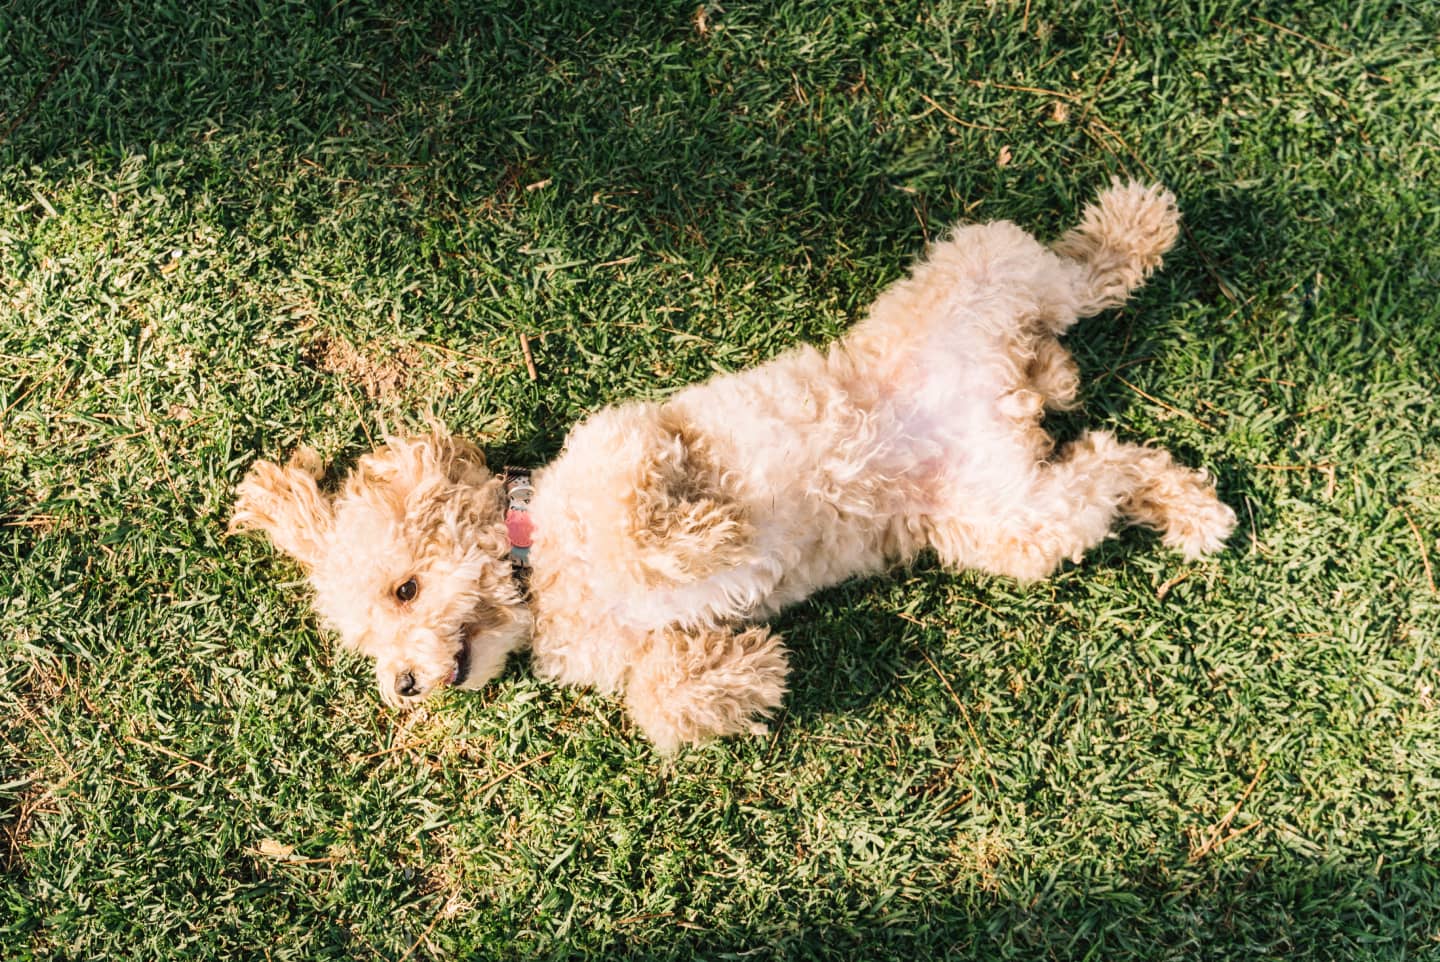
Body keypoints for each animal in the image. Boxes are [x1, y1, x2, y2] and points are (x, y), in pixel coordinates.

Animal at [233, 180, 1238, 748]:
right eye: (369, 640)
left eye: (404, 588)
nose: (403, 687)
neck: (540, 568)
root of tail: (1013, 390)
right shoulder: (636, 646)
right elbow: (659, 701)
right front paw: (744, 673)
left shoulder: (628, 439)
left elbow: (642, 526)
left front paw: (704, 536)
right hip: (1012, 520)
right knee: (1111, 464)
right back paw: (1188, 507)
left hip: (989, 272)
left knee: (1084, 279)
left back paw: (1135, 225)